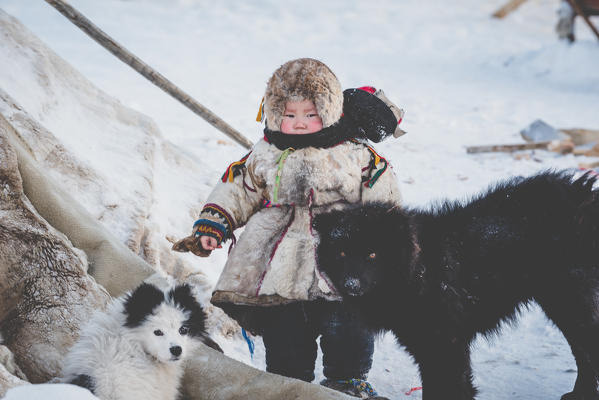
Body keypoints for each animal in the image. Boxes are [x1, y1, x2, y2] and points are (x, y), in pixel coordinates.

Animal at [314, 171, 599, 400]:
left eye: (372, 254)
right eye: (341, 253)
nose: (351, 284)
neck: (418, 270)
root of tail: (584, 193)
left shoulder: (447, 343)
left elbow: (450, 387)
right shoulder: (426, 344)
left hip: (568, 303)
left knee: (586, 351)